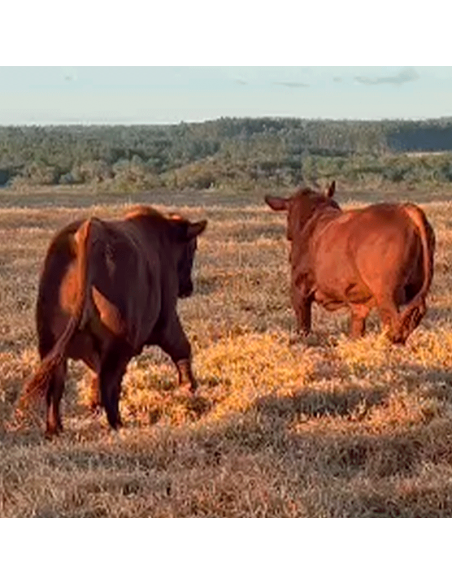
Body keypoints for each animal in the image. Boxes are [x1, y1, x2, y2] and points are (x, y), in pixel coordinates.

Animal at [19, 203, 207, 436]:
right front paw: (189, 385)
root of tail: (90, 231)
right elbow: (182, 347)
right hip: (120, 344)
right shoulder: (167, 319)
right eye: (193, 248)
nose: (188, 288)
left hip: (50, 345)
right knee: (109, 382)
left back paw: (55, 430)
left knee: (56, 385)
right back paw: (117, 424)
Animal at [264, 184, 434, 342]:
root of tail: (406, 210)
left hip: (386, 295)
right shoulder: (358, 305)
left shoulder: (299, 290)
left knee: (395, 324)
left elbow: (303, 326)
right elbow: (357, 329)